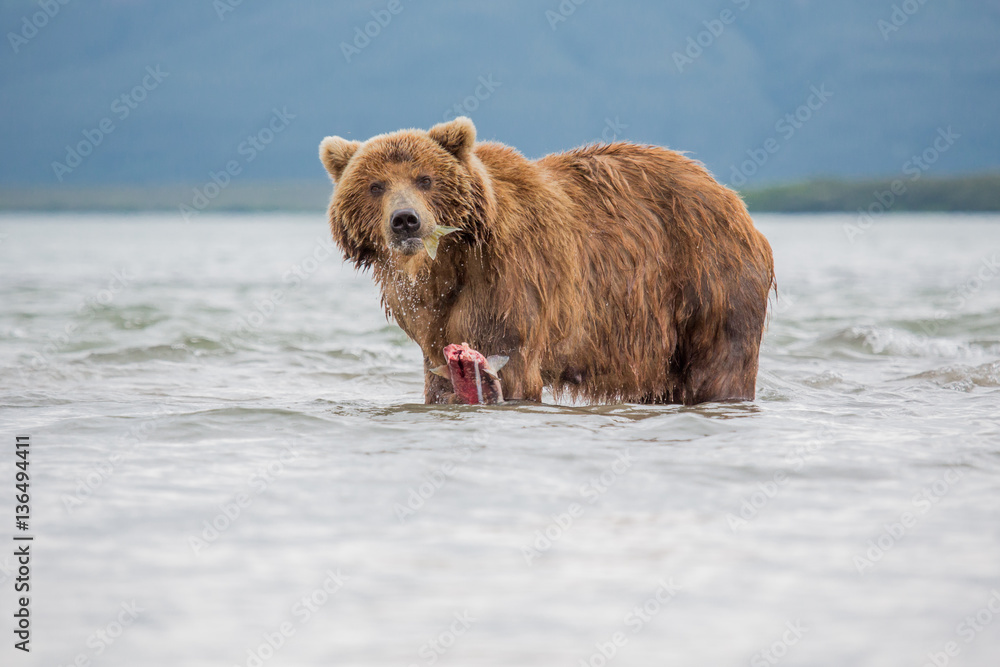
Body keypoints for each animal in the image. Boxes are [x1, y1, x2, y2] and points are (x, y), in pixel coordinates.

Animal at [319, 117, 774, 405]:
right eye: (375, 185)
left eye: (425, 179)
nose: (405, 220)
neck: (447, 261)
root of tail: (730, 196)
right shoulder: (427, 317)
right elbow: (437, 372)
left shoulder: (509, 281)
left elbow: (510, 359)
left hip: (706, 277)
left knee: (720, 361)